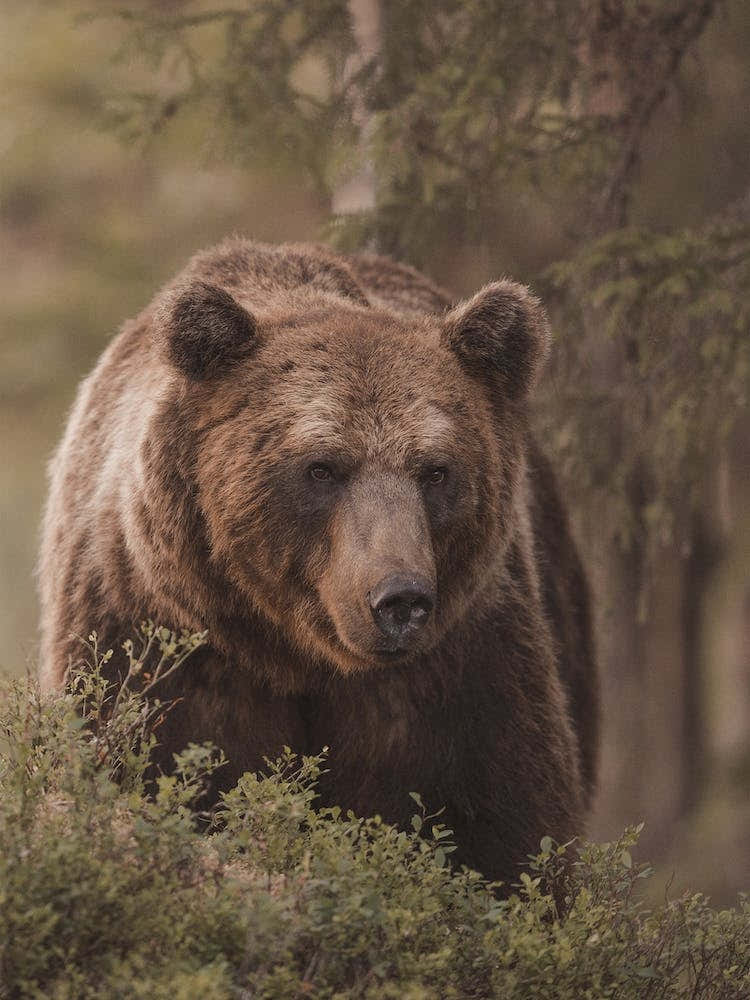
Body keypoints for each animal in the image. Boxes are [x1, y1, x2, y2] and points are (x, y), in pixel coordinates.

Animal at [38, 238, 598, 886]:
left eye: (436, 470)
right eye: (322, 467)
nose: (399, 599)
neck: (296, 653)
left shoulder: (461, 671)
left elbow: (510, 833)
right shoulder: (153, 640)